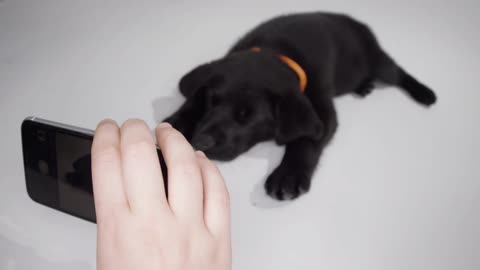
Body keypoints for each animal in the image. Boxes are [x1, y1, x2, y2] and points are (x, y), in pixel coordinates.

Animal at [163, 11, 436, 199]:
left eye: (246, 116)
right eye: (212, 102)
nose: (201, 143)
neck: (276, 50)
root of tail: (357, 21)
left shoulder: (323, 109)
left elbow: (306, 139)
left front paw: (289, 174)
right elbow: (193, 99)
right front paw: (177, 122)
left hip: (378, 61)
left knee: (398, 72)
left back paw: (424, 93)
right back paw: (363, 86)